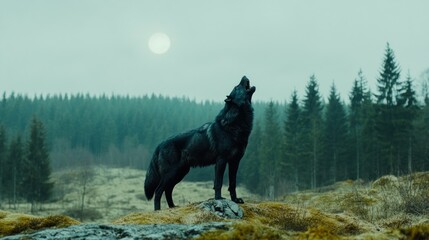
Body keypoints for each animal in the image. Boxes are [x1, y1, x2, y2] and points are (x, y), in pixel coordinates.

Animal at [145, 76, 256, 210]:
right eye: (236, 87)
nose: (244, 76)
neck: (233, 125)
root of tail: (159, 144)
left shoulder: (235, 162)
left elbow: (232, 183)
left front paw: (235, 199)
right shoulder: (221, 160)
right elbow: (218, 182)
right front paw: (218, 198)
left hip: (180, 173)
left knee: (168, 190)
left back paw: (173, 207)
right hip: (171, 173)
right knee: (158, 191)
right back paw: (158, 210)